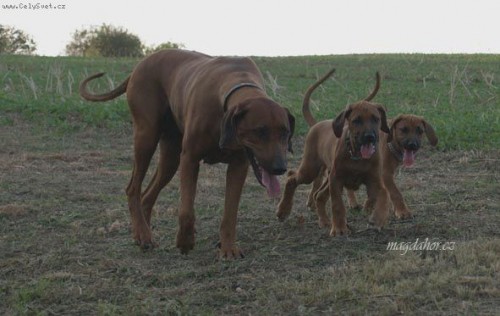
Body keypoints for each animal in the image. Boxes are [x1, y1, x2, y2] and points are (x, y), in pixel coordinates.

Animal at [80, 48, 294, 256]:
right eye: (260, 131)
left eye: (285, 132)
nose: (280, 168)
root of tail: (138, 66)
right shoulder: (190, 158)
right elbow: (186, 210)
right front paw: (185, 241)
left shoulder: (239, 165)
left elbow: (230, 212)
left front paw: (228, 248)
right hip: (146, 137)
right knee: (133, 188)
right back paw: (143, 233)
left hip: (171, 156)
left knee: (147, 195)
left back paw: (142, 232)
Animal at [278, 69, 390, 236]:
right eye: (356, 120)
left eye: (376, 119)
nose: (369, 137)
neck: (357, 157)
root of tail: (317, 124)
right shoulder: (336, 180)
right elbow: (337, 205)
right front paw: (338, 228)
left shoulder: (374, 181)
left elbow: (384, 195)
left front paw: (377, 218)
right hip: (311, 169)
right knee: (292, 177)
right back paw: (283, 210)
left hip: (326, 175)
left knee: (318, 195)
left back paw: (324, 221)